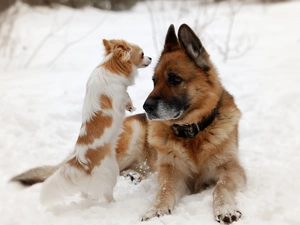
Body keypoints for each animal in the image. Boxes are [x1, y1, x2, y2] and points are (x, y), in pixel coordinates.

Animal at [39, 39, 151, 206]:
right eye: (142, 54)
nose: (151, 58)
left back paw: (88, 199)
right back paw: (115, 203)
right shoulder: (119, 95)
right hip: (111, 170)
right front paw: (130, 106)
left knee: (84, 192)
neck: (110, 66)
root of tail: (81, 162)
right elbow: (126, 96)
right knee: (107, 194)